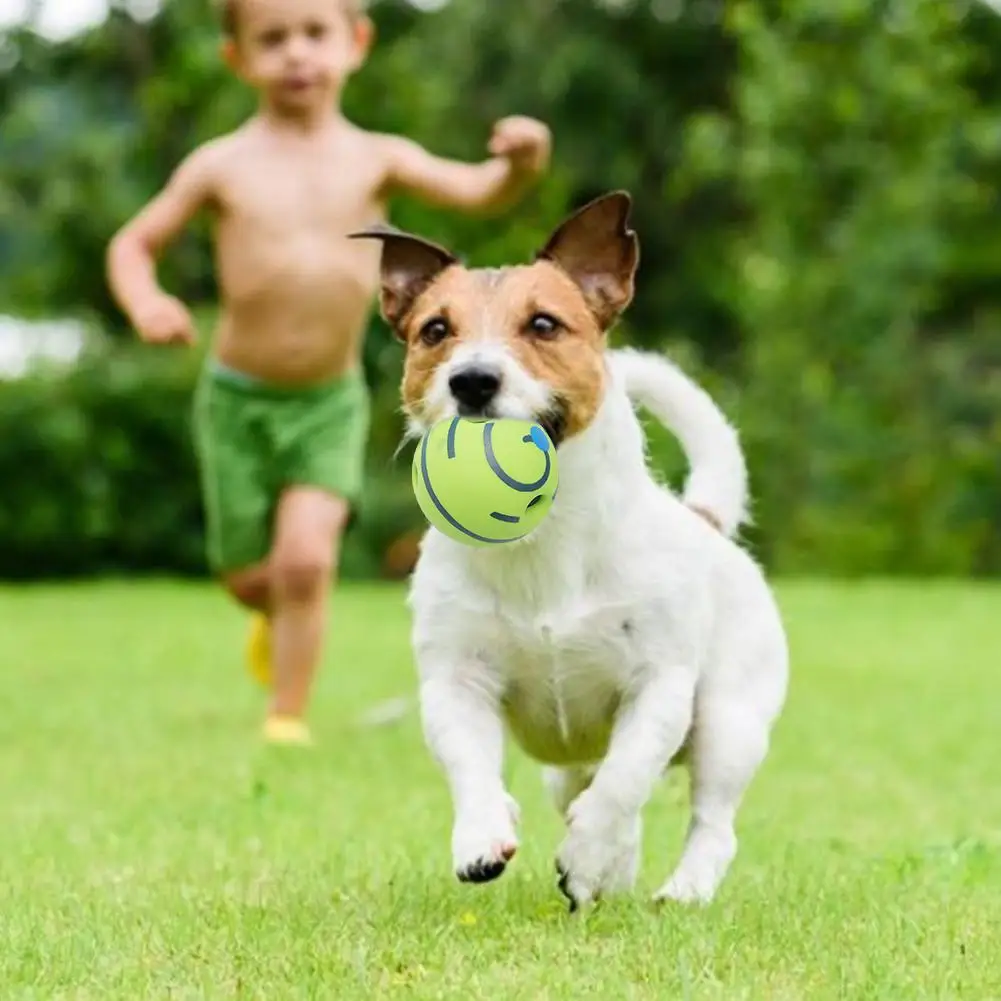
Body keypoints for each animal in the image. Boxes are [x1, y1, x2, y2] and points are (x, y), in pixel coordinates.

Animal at [352, 191, 788, 912]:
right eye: (435, 331)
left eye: (543, 324)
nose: (472, 380)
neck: (540, 538)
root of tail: (704, 519)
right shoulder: (455, 680)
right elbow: (470, 764)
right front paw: (483, 836)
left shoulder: (659, 687)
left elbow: (623, 781)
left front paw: (584, 855)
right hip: (573, 761)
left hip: (730, 721)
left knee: (706, 818)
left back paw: (678, 888)